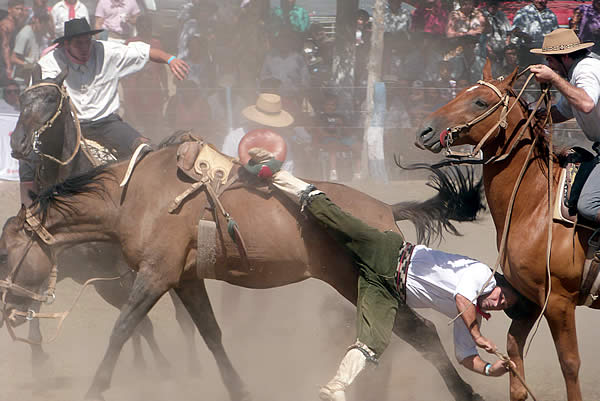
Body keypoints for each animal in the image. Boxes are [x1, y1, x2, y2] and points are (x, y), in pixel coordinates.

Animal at [0, 142, 488, 398]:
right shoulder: (186, 279)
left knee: (420, 333)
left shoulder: (156, 275)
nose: (8, 309)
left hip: (363, 282)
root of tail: (387, 209)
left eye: (6, 254)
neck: (132, 198)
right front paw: (240, 389)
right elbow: (212, 335)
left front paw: (95, 388)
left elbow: (122, 329)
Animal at [414, 60, 596, 400]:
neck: (536, 206)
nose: (425, 130)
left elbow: (570, 363)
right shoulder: (530, 299)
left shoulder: (558, 301)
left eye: (480, 101)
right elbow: (513, 353)